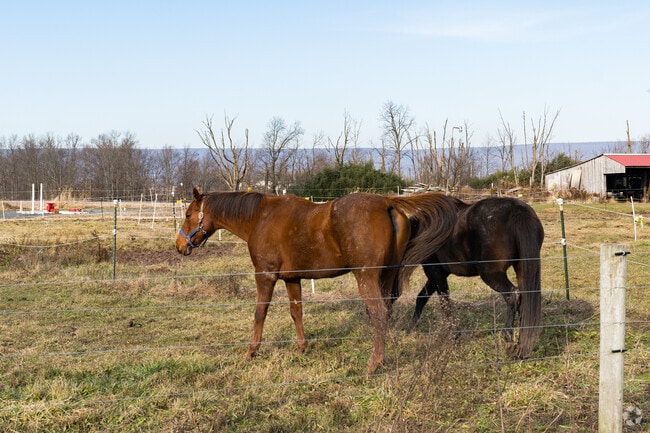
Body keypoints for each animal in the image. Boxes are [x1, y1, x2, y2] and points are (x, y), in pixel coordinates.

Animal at [176, 187, 458, 373]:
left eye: (189, 214)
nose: (179, 246)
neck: (260, 217)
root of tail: (387, 202)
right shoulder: (292, 279)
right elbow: (296, 312)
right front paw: (302, 348)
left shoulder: (265, 276)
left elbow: (259, 313)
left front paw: (251, 352)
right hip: (386, 276)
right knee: (386, 311)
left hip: (366, 277)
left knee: (378, 312)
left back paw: (374, 364)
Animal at [405, 196, 544, 359]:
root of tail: (516, 210)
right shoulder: (438, 274)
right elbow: (421, 298)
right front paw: (410, 331)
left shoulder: (434, 272)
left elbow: (445, 304)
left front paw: (455, 338)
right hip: (522, 269)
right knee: (524, 299)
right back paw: (522, 344)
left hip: (491, 275)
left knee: (513, 295)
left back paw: (508, 339)